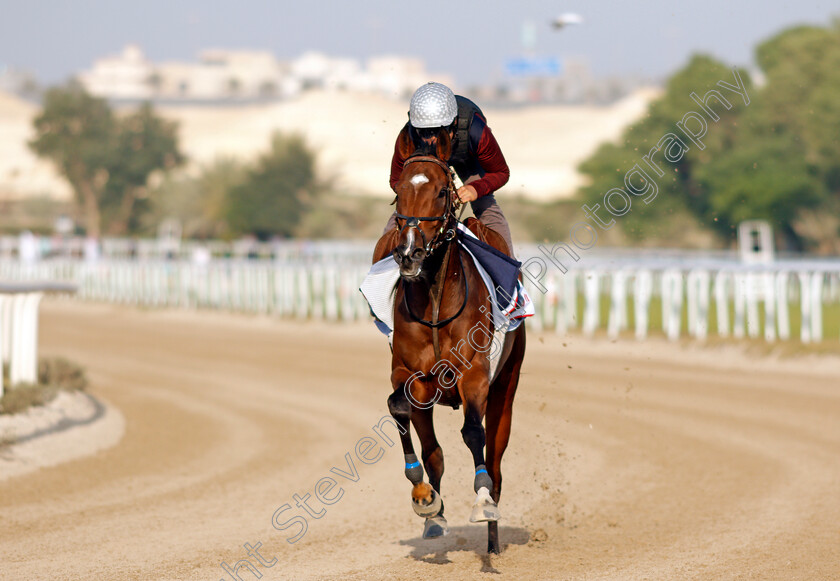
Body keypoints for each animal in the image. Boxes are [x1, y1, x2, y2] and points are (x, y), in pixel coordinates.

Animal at [372, 125, 524, 552]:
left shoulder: (475, 375)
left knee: (496, 459)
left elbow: (474, 433)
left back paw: (492, 537)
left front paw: (483, 502)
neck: (438, 301)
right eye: (399, 190)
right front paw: (424, 497)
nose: (408, 254)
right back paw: (434, 516)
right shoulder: (409, 375)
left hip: (506, 385)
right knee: (434, 451)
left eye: (442, 191)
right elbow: (399, 409)